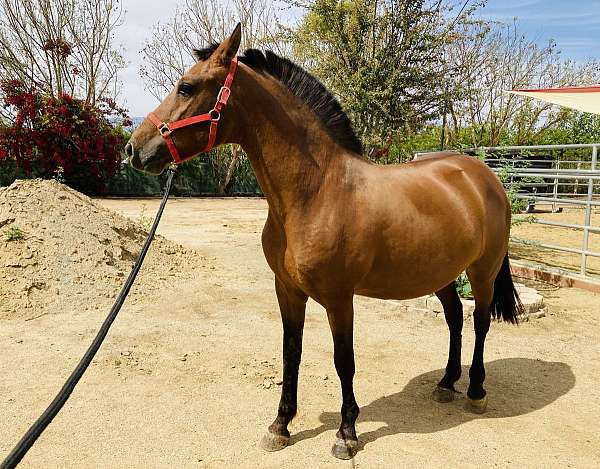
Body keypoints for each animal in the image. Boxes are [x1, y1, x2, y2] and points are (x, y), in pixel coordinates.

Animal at [125, 23, 520, 458]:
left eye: (187, 87)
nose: (134, 149)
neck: (316, 193)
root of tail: (483, 176)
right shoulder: (287, 291)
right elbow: (291, 354)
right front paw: (281, 425)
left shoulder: (338, 298)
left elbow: (343, 360)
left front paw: (346, 432)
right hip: (441, 273)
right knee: (454, 318)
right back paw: (447, 383)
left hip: (481, 271)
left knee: (480, 321)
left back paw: (476, 390)